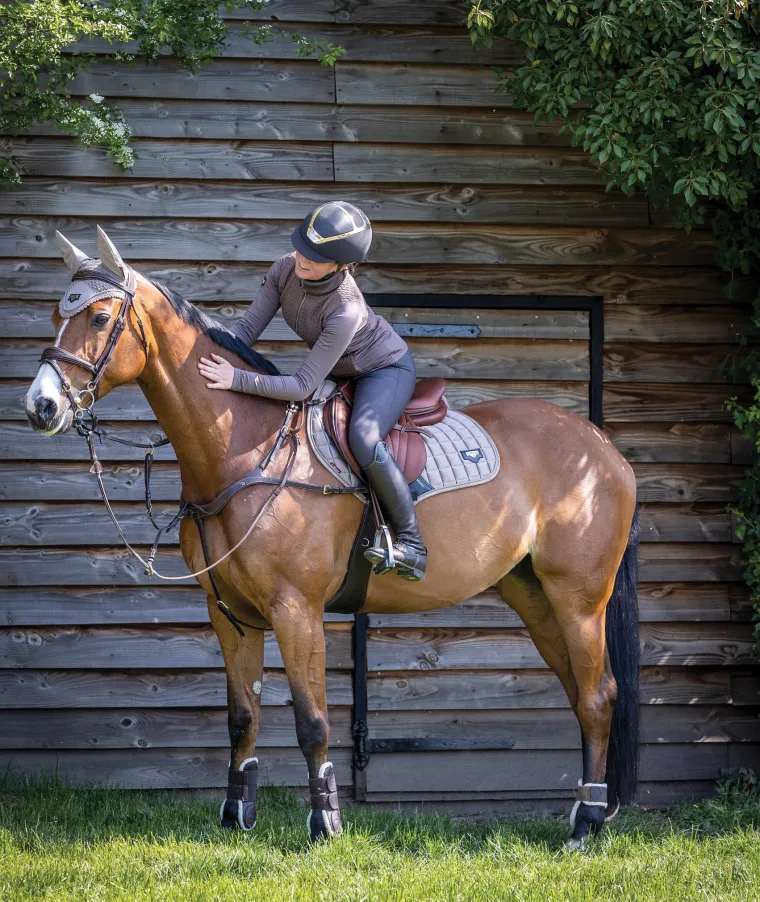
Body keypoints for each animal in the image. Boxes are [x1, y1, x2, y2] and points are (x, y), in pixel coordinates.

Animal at [24, 227, 640, 847]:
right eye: (55, 313)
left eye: (100, 318)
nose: (40, 406)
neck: (246, 448)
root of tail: (602, 447)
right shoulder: (230, 613)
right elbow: (242, 717)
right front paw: (236, 816)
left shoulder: (296, 608)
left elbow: (312, 721)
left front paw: (325, 822)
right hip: (533, 595)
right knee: (583, 692)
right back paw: (588, 808)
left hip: (578, 598)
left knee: (596, 698)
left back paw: (586, 823)